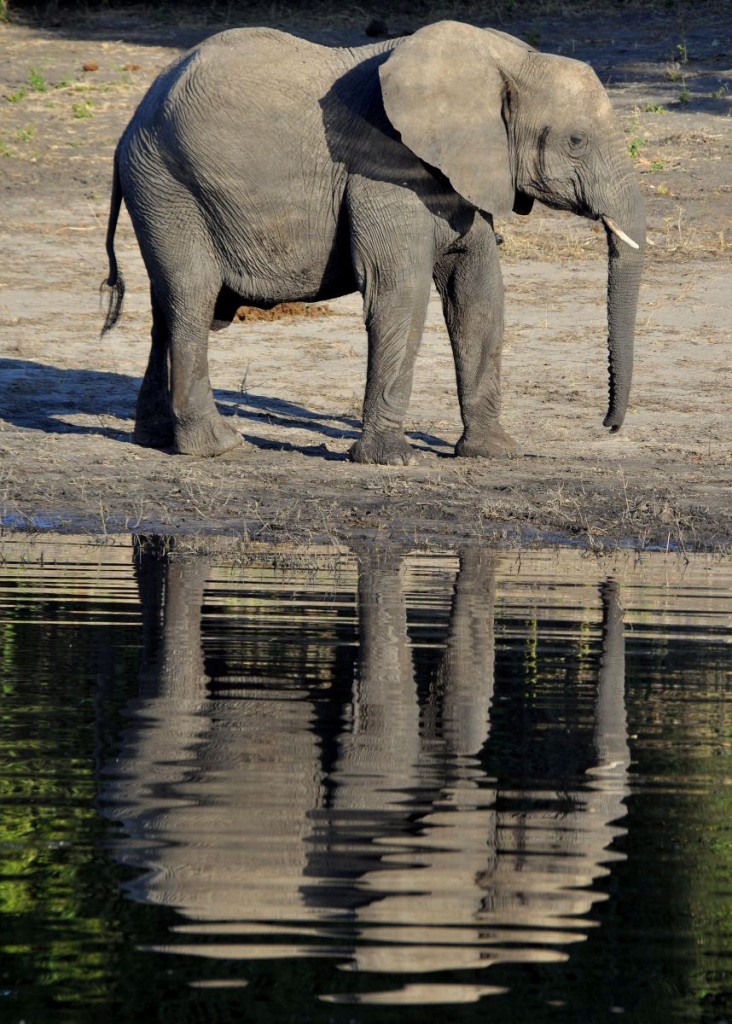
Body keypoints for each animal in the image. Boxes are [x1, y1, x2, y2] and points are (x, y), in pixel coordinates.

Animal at [100, 18, 642, 464]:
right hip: (168, 184)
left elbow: (479, 292)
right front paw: (393, 460)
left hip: (160, 188)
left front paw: (495, 452)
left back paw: (152, 439)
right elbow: (398, 292)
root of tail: (130, 124)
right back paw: (218, 446)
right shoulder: (383, 168)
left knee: (166, 304)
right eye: (576, 141)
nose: (607, 426)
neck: (500, 58)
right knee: (192, 294)